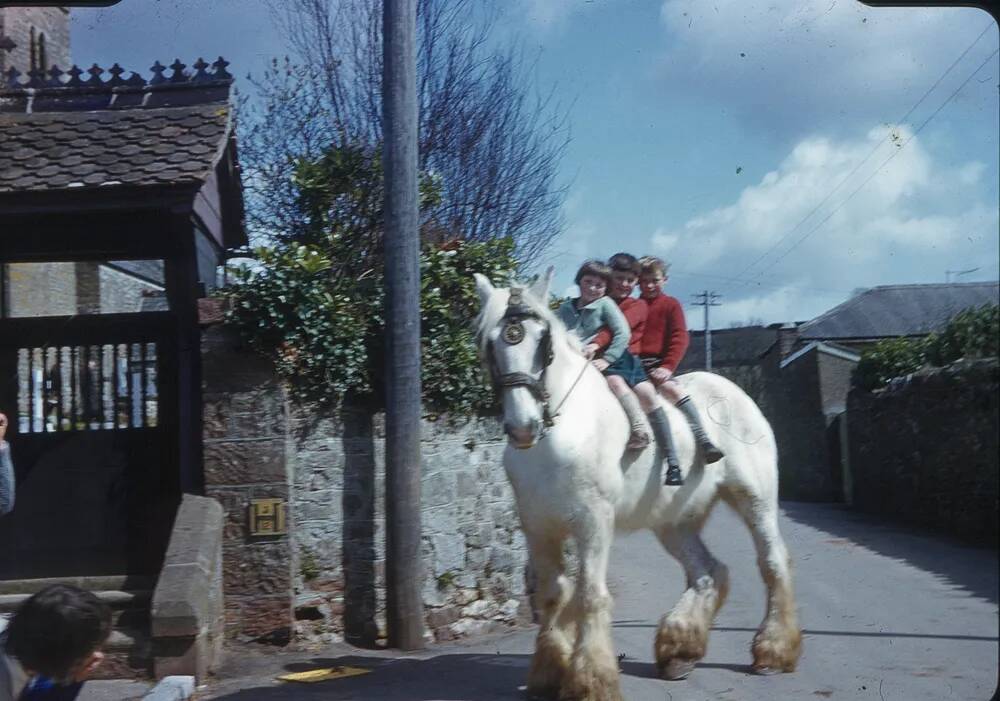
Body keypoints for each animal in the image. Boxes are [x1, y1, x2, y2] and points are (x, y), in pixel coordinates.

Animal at [476, 274, 804, 700]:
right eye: (490, 342)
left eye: (542, 340)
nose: (522, 428)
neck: (561, 432)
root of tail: (734, 393)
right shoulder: (538, 527)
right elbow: (552, 593)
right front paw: (549, 673)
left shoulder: (593, 522)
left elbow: (589, 595)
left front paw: (591, 681)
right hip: (674, 521)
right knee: (708, 572)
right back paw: (679, 650)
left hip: (755, 499)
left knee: (772, 561)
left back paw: (773, 651)